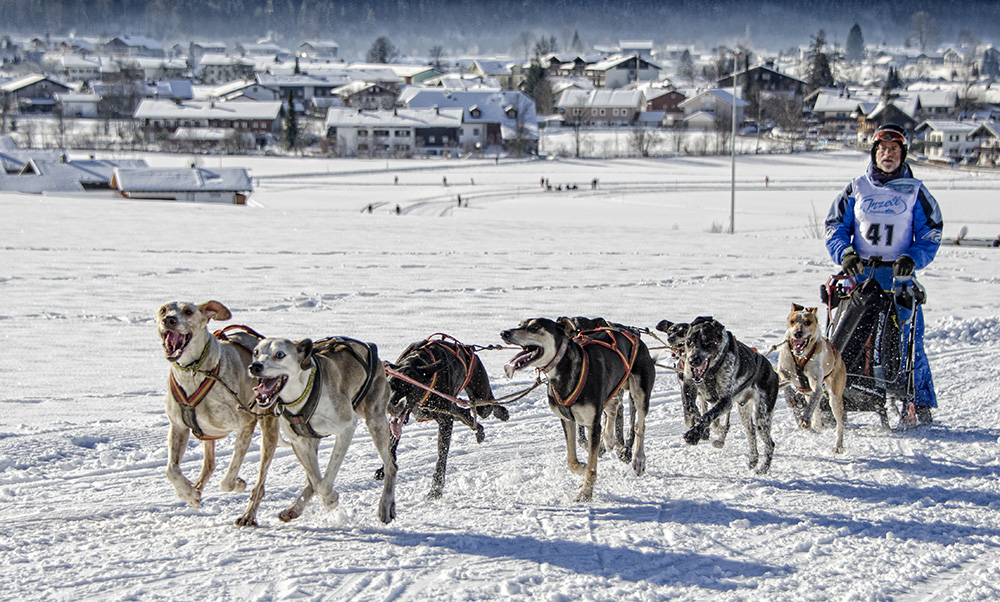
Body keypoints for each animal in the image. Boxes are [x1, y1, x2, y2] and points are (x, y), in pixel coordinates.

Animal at [157, 300, 280, 524]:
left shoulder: (246, 424)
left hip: (268, 430)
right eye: (163, 310)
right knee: (209, 464)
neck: (193, 371)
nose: (169, 320)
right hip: (207, 434)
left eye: (188, 311)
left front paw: (238, 483)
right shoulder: (178, 427)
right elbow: (171, 469)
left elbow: (228, 480)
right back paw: (196, 488)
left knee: (259, 484)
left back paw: (248, 514)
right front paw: (189, 494)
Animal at [250, 336, 398, 524]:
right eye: (256, 352)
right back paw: (294, 509)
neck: (301, 394)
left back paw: (385, 504)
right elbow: (316, 480)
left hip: (376, 421)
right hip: (313, 440)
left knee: (390, 465)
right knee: (311, 481)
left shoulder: (346, 428)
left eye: (280, 354)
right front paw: (321, 499)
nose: (254, 367)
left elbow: (325, 481)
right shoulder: (299, 442)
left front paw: (330, 499)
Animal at [382, 332, 508, 496]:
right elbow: (392, 441)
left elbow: (441, 456)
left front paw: (435, 489)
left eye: (408, 388)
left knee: (488, 403)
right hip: (450, 407)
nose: (388, 406)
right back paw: (479, 430)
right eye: (390, 386)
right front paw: (383, 469)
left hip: (479, 396)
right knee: (465, 413)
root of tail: (470, 349)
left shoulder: (445, 421)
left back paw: (502, 413)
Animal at [500, 316, 656, 500]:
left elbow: (592, 465)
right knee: (613, 406)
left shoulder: (593, 425)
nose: (504, 332)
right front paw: (581, 468)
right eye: (520, 325)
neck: (566, 370)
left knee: (640, 425)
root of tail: (632, 332)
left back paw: (638, 459)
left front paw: (585, 493)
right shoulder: (567, 420)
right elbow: (572, 460)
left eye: (535, 327)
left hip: (640, 392)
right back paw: (609, 439)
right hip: (610, 391)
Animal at [772, 302, 844, 452]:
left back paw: (838, 445)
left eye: (808, 322)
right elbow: (785, 385)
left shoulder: (816, 383)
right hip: (807, 392)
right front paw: (790, 398)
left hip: (835, 398)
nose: (797, 333)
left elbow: (812, 403)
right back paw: (815, 424)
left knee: (839, 423)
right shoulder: (783, 372)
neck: (800, 357)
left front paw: (805, 418)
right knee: (815, 407)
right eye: (792, 321)